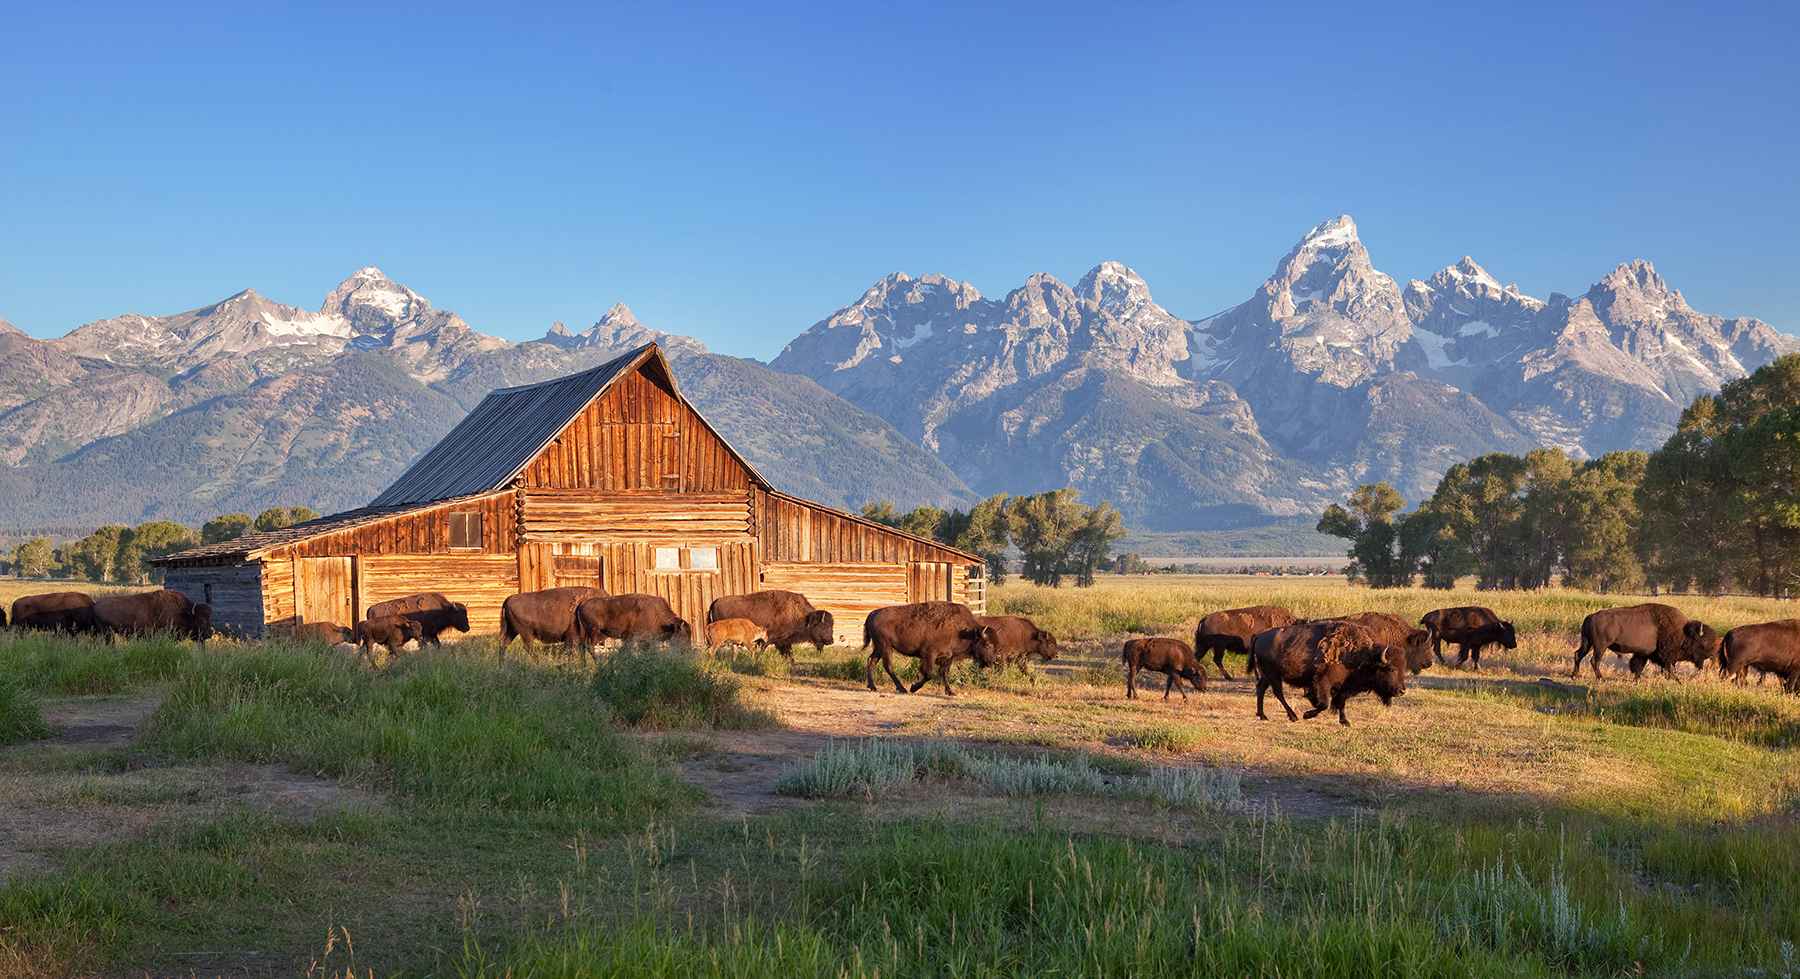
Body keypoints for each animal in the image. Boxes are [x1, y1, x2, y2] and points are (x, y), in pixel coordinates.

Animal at [705, 590, 838, 658]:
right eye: (824, 625)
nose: (831, 641)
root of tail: (714, 602)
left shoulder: (784, 642)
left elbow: (789, 655)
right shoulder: (771, 639)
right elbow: (763, 649)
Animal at [856, 597, 1000, 694]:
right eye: (987, 644)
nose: (993, 661)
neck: (963, 631)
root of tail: (872, 614)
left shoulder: (948, 658)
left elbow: (944, 673)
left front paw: (950, 692)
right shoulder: (929, 654)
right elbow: (929, 674)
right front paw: (913, 688)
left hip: (879, 647)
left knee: (871, 661)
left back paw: (873, 687)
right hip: (885, 646)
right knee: (888, 666)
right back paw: (902, 689)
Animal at [1252, 619, 1404, 727]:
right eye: (1391, 669)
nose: (1401, 691)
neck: (1361, 655)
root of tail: (1259, 636)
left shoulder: (1343, 687)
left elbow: (1341, 703)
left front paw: (1345, 722)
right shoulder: (1323, 682)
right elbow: (1324, 703)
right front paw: (1307, 714)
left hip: (1267, 675)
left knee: (1261, 689)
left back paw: (1262, 715)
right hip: (1273, 675)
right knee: (1278, 693)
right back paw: (1293, 716)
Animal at [1576, 604, 1713, 680]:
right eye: (1702, 644)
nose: (1708, 657)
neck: (1683, 632)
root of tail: (1591, 616)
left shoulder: (1643, 654)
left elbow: (1638, 666)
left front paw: (1636, 679)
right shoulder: (1666, 656)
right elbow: (1668, 668)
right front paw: (1676, 680)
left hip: (1588, 643)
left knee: (1578, 655)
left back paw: (1575, 675)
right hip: (1600, 646)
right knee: (1594, 660)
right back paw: (1600, 678)